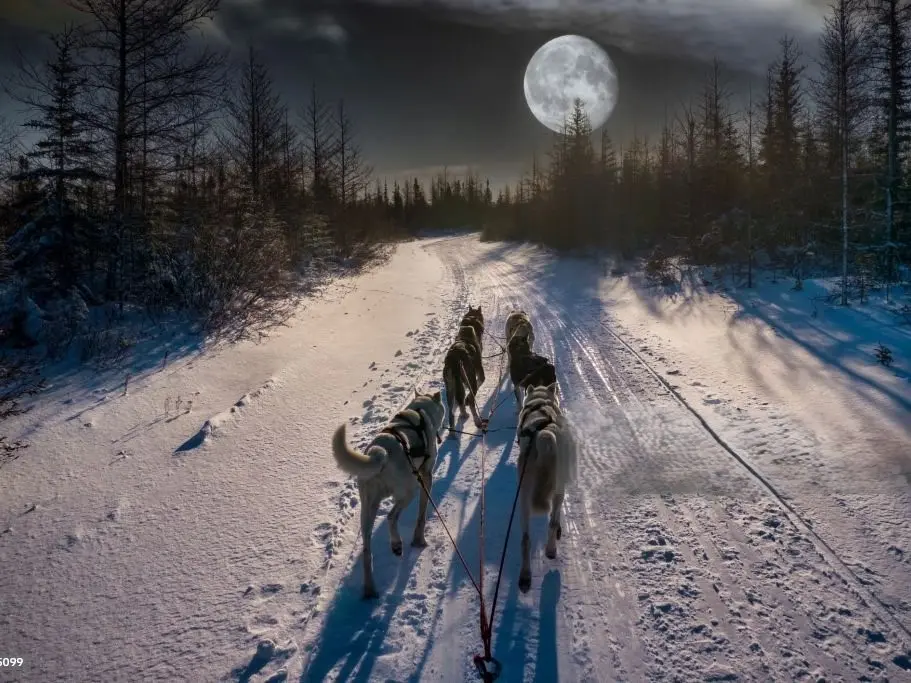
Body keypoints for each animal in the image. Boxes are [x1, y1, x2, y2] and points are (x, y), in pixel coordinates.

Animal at [332, 390, 446, 600]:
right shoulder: (426, 477)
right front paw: (419, 540)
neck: (419, 410)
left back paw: (370, 589)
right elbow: (421, 515)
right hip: (409, 489)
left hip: (368, 508)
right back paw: (396, 544)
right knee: (391, 516)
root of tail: (380, 453)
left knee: (367, 551)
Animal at [516, 384, 572, 592]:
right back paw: (550, 551)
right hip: (550, 491)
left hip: (524, 498)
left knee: (527, 539)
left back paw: (526, 574)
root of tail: (545, 438)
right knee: (550, 523)